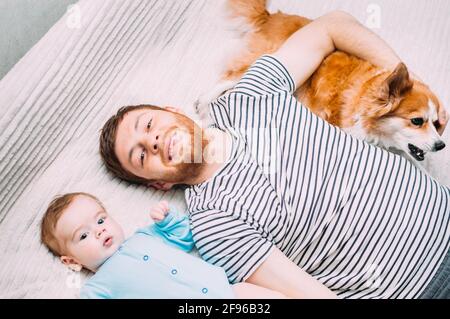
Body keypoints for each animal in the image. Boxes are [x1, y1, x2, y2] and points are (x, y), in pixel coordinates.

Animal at [199, 0, 448, 162]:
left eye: (436, 123)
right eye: (417, 121)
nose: (441, 145)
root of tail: (274, 16)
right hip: (263, 58)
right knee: (229, 77)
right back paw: (203, 103)